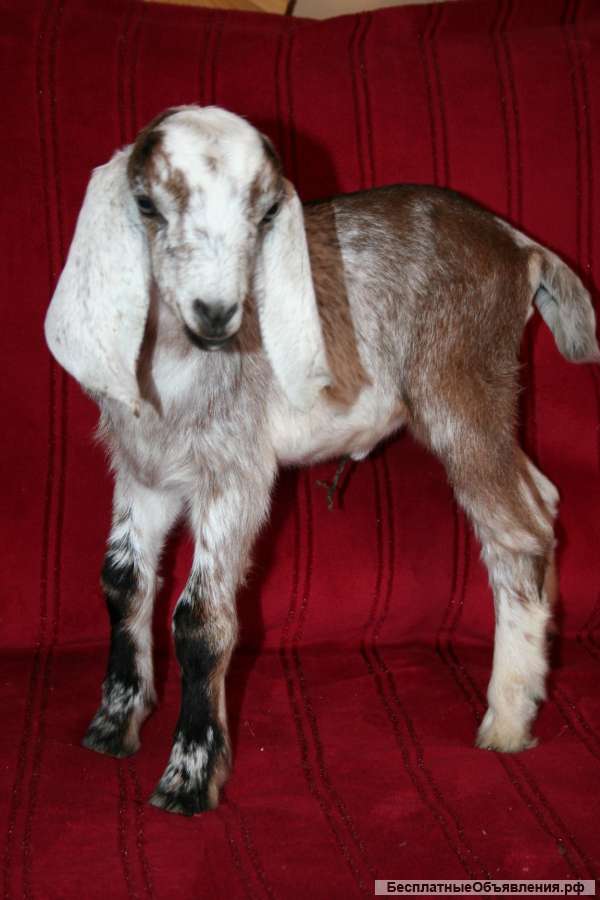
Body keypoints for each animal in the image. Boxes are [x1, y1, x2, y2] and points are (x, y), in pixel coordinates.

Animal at [44, 105, 600, 816]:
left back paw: (507, 719)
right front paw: (113, 726)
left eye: (263, 214)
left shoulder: (235, 475)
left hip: (460, 391)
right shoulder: (144, 473)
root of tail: (517, 245)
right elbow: (122, 581)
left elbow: (200, 619)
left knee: (516, 532)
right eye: (146, 203)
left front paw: (189, 777)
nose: (216, 314)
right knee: (544, 499)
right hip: (491, 406)